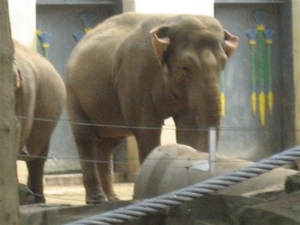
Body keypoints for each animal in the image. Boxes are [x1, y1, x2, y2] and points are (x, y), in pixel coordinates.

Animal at [65, 12, 239, 205]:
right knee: (84, 137)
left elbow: (189, 127)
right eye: (185, 67)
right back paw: (97, 200)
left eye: (223, 65)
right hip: (73, 92)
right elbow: (147, 128)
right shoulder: (135, 75)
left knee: (108, 143)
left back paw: (112, 199)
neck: (170, 22)